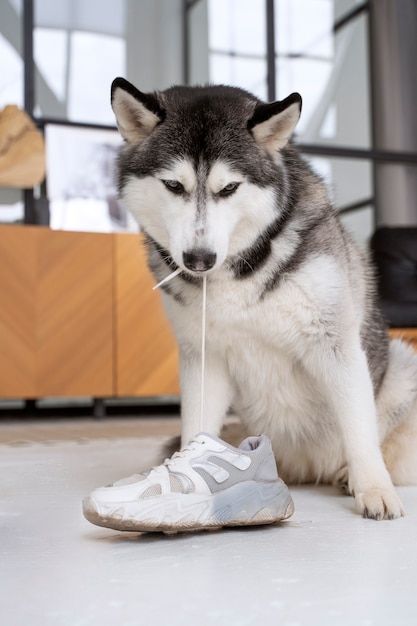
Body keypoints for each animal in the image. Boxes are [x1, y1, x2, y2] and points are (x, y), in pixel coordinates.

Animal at [110, 77, 416, 516]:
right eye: (173, 185)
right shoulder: (203, 354)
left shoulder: (335, 343)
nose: (198, 259)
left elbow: (360, 429)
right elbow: (196, 424)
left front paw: (375, 489)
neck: (238, 270)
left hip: (402, 365)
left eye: (229, 188)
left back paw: (346, 474)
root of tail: (306, 468)